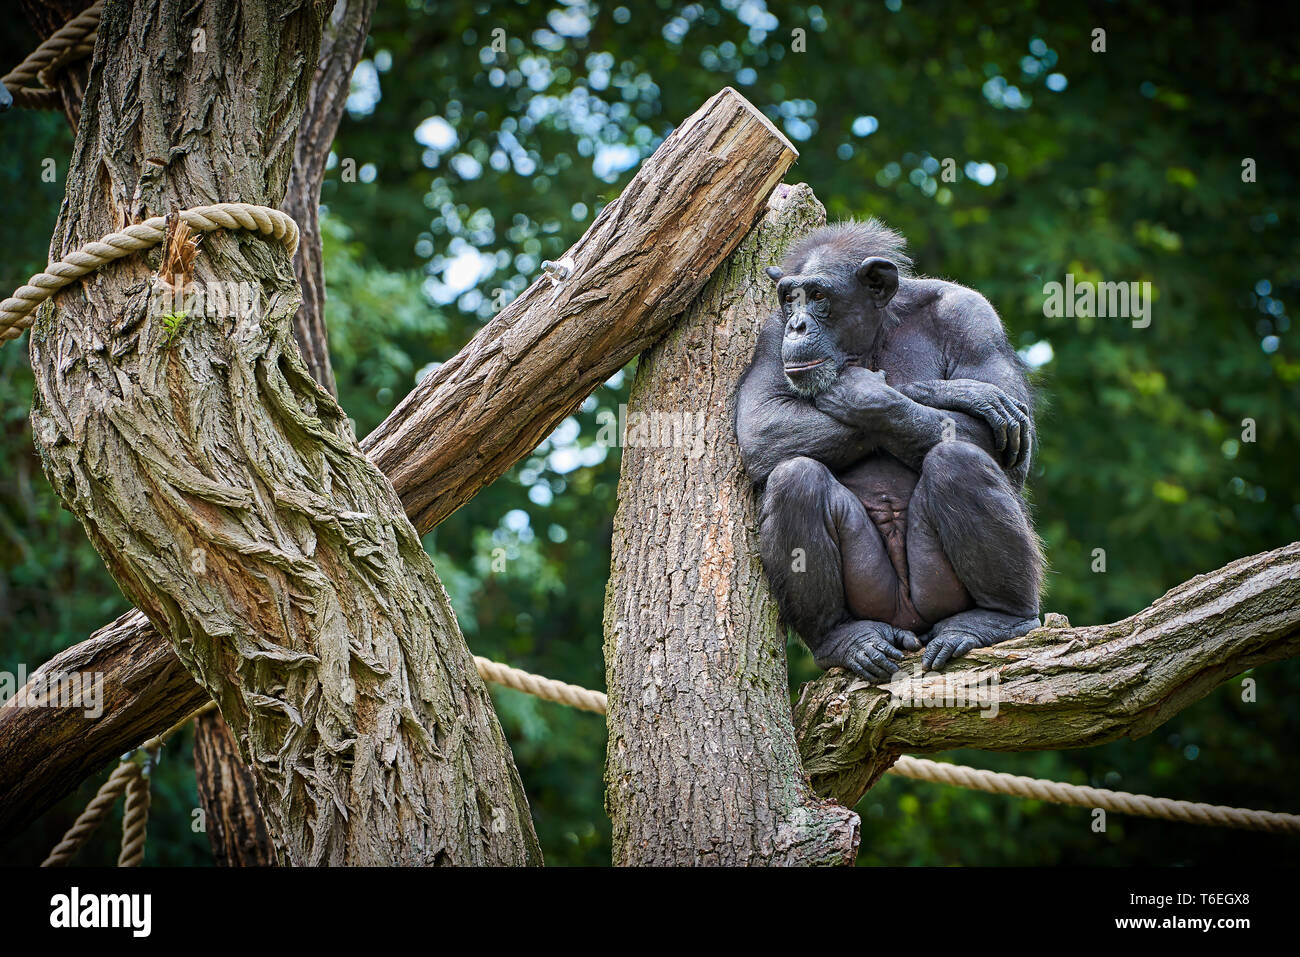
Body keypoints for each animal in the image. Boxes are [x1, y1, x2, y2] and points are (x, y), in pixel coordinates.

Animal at [733, 218, 1045, 681]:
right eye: (791, 298)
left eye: (819, 296)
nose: (798, 325)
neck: (876, 330)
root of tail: (909, 627)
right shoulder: (770, 336)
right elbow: (763, 423)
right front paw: (959, 393)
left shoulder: (973, 317)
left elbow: (1001, 442)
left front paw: (887, 391)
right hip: (875, 597)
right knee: (796, 478)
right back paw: (843, 637)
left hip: (937, 595)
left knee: (958, 460)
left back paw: (1001, 618)